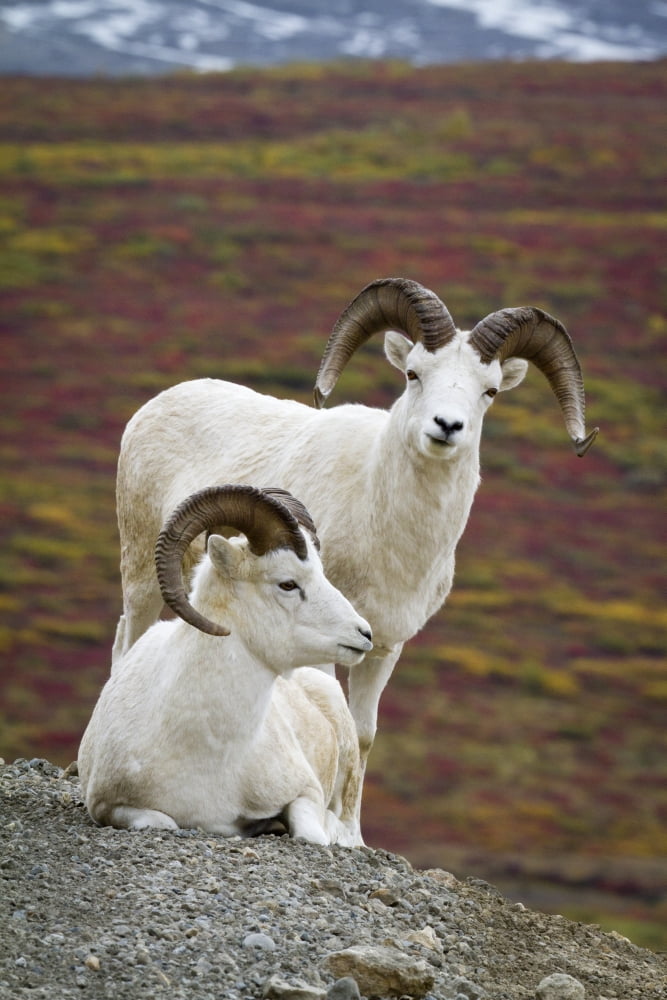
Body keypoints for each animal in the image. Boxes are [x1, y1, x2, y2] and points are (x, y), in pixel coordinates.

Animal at [78, 484, 373, 846]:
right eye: (288, 583)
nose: (364, 634)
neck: (208, 751)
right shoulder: (109, 807)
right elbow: (162, 822)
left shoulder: (306, 792)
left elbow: (310, 835)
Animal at [112, 277, 598, 782]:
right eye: (413, 373)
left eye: (491, 390)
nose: (447, 426)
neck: (391, 537)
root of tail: (157, 405)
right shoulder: (326, 645)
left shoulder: (383, 648)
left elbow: (361, 736)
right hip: (142, 577)